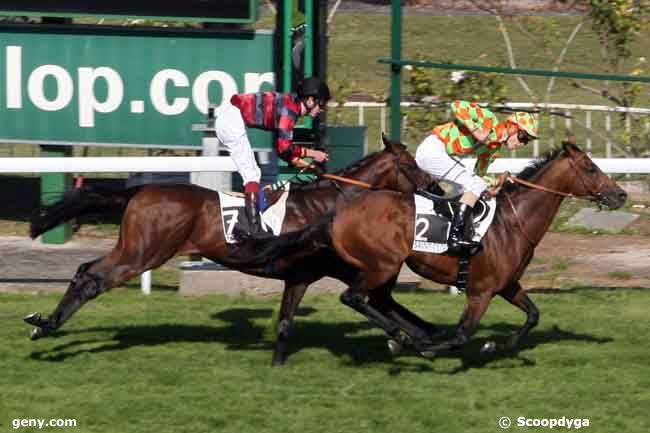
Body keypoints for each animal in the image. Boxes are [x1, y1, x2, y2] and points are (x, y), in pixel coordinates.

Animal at [25, 135, 432, 358]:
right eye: (413, 164)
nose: (435, 188)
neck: (332, 203)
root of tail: (139, 191)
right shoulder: (340, 268)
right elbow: (373, 303)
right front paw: (412, 340)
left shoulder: (312, 274)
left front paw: (418, 340)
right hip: (143, 254)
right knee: (92, 279)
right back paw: (45, 326)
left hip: (133, 248)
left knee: (84, 272)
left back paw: (45, 324)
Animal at [270, 140, 628, 356]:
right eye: (590, 168)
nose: (621, 194)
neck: (513, 223)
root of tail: (339, 211)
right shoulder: (481, 291)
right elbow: (461, 335)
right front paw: (438, 345)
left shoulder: (507, 284)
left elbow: (533, 315)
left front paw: (499, 345)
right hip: (382, 264)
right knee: (354, 297)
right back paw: (406, 338)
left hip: (383, 268)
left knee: (377, 299)